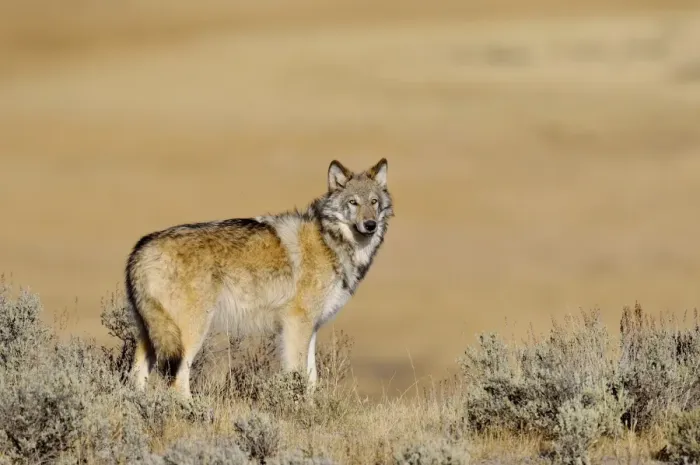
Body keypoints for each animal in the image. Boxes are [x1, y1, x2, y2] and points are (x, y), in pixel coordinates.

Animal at [125, 158, 394, 398]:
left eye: (374, 202)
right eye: (353, 202)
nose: (370, 224)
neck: (329, 242)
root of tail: (141, 248)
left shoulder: (312, 326)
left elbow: (312, 378)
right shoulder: (297, 323)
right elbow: (298, 375)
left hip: (152, 334)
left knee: (137, 374)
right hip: (190, 334)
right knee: (177, 383)